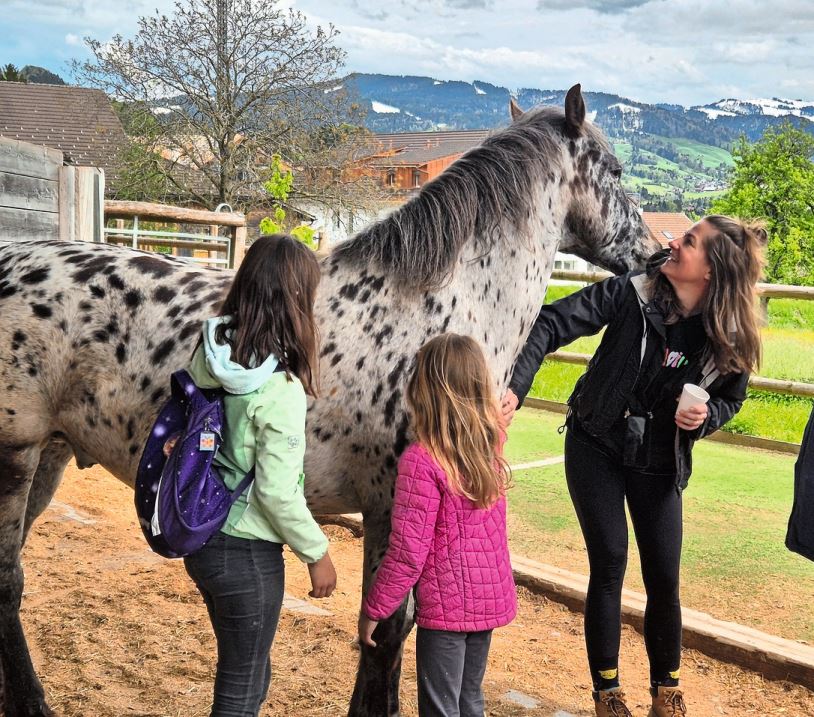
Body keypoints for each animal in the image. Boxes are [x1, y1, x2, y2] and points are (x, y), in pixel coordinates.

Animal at [0, 88, 660, 716]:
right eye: (617, 170)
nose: (656, 255)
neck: (435, 313)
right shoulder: (392, 506)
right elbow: (386, 634)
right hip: (16, 459)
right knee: (7, 582)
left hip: (51, 458)